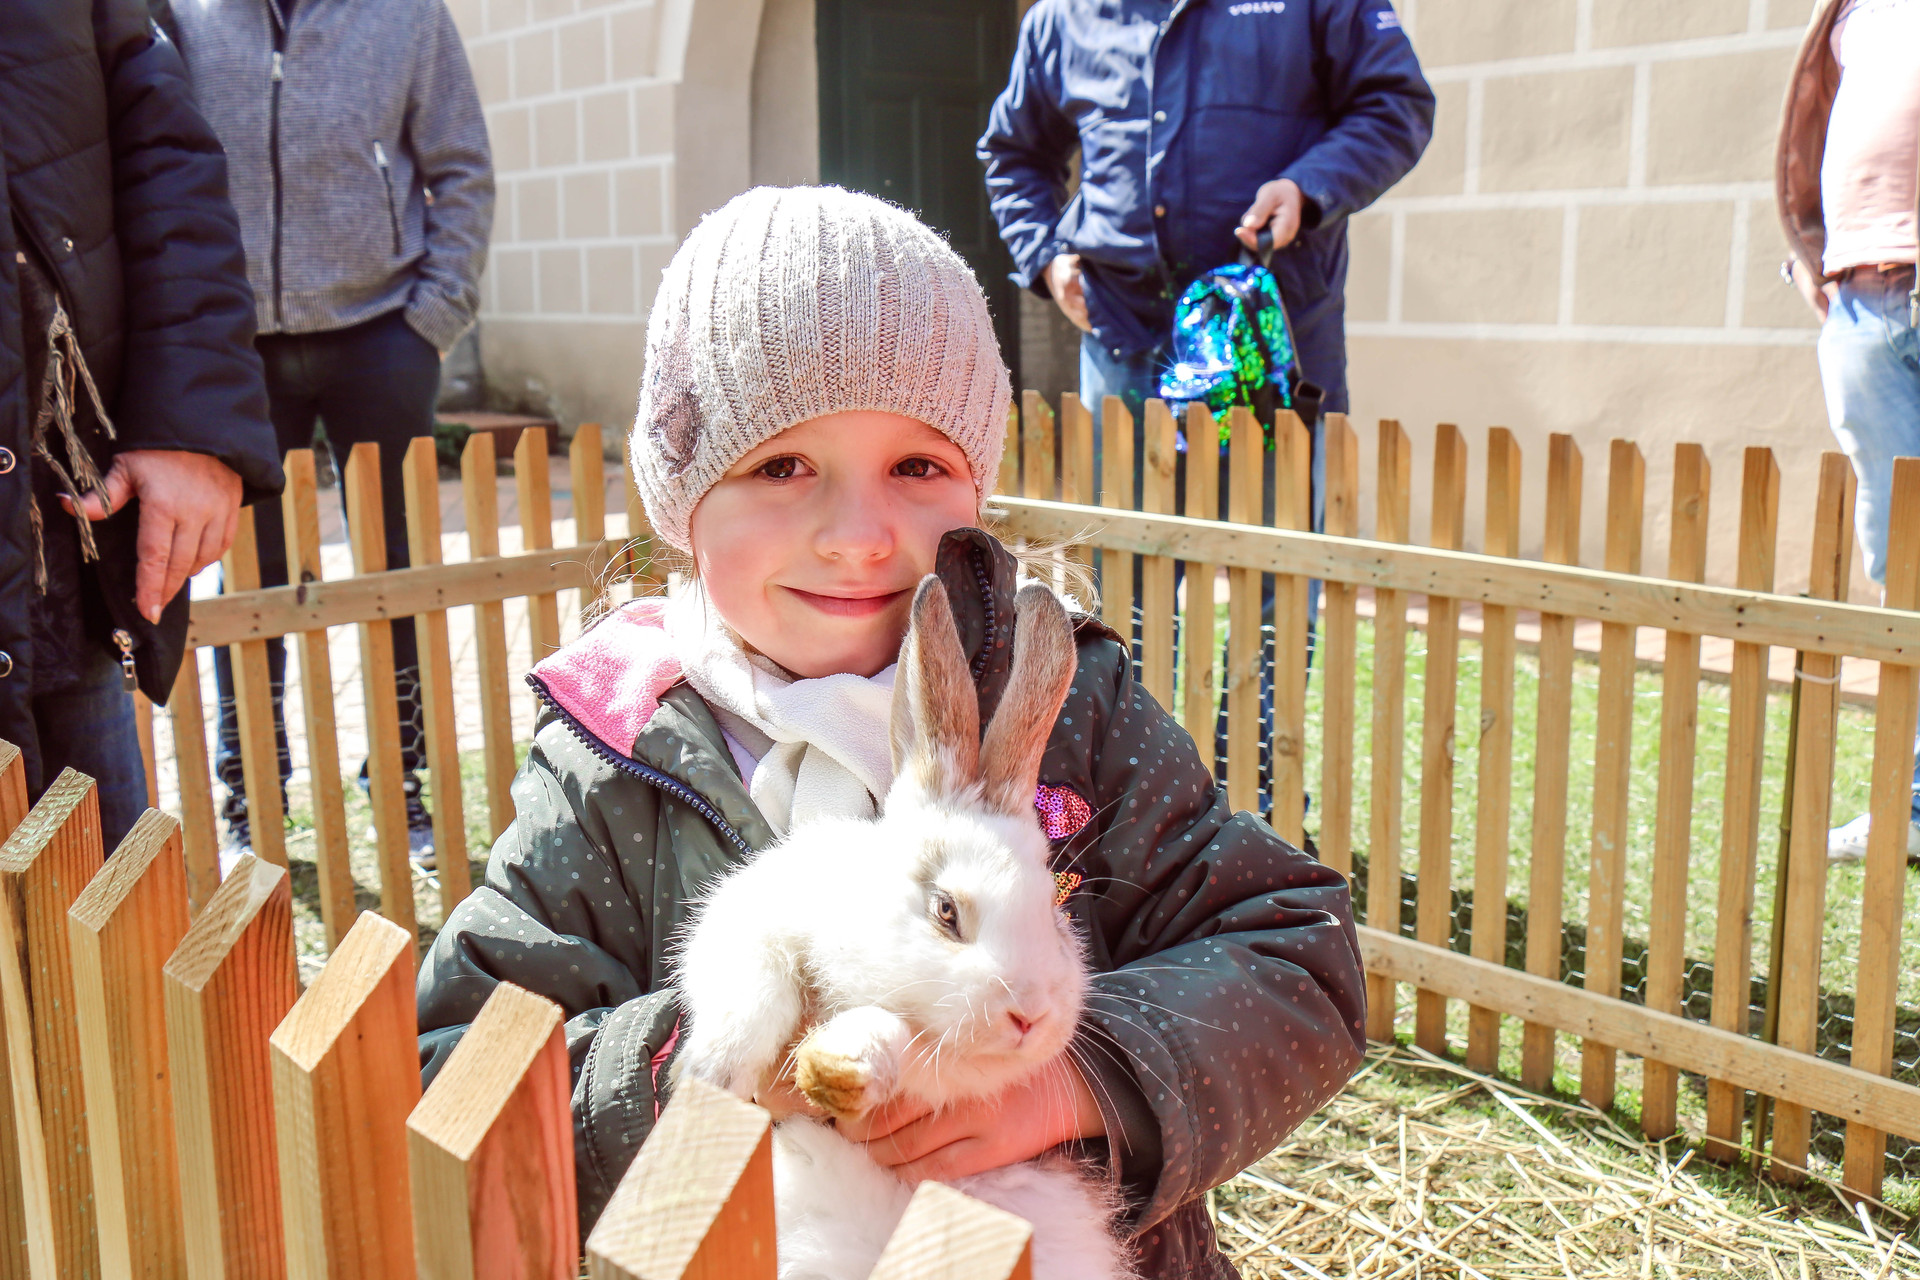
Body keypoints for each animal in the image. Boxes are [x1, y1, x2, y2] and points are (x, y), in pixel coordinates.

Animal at [674, 574, 1135, 1280]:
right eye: (946, 911)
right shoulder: (748, 922)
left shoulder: (948, 1073)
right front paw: (711, 1077)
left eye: (1054, 917)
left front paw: (839, 1066)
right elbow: (754, 994)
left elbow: (900, 1048)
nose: (1028, 1016)